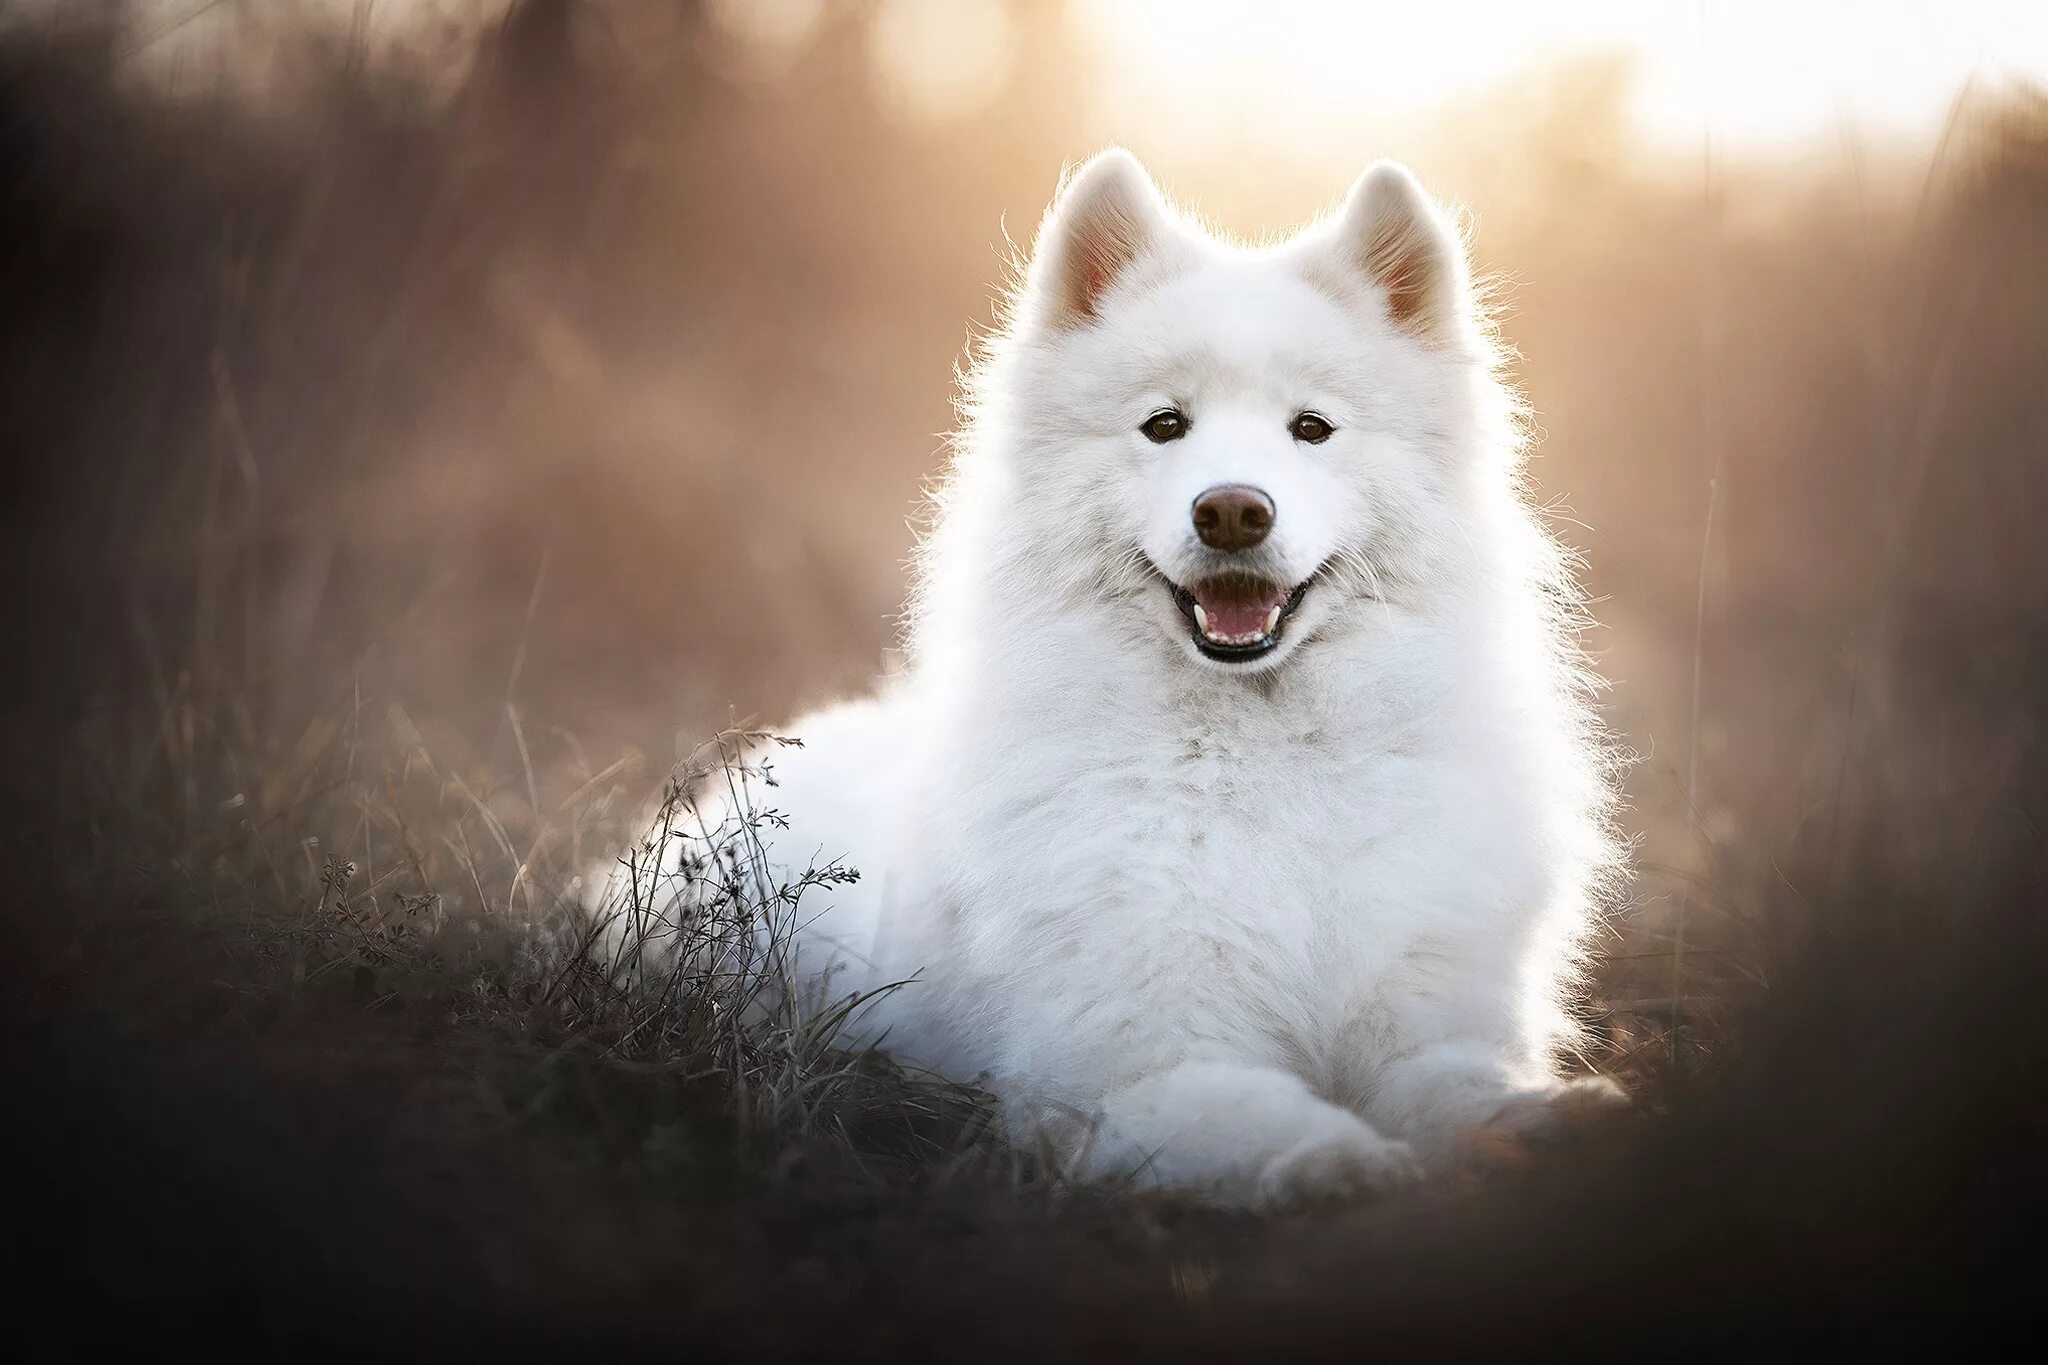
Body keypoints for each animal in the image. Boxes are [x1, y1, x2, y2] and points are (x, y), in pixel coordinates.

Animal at [598, 152, 1622, 1203]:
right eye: (1164, 425)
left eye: (1313, 428)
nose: (1233, 510)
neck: (1258, 754)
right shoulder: (1137, 1071)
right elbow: (1273, 1121)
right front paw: (1350, 1165)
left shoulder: (1428, 1017)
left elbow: (1465, 1087)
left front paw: (1552, 1123)